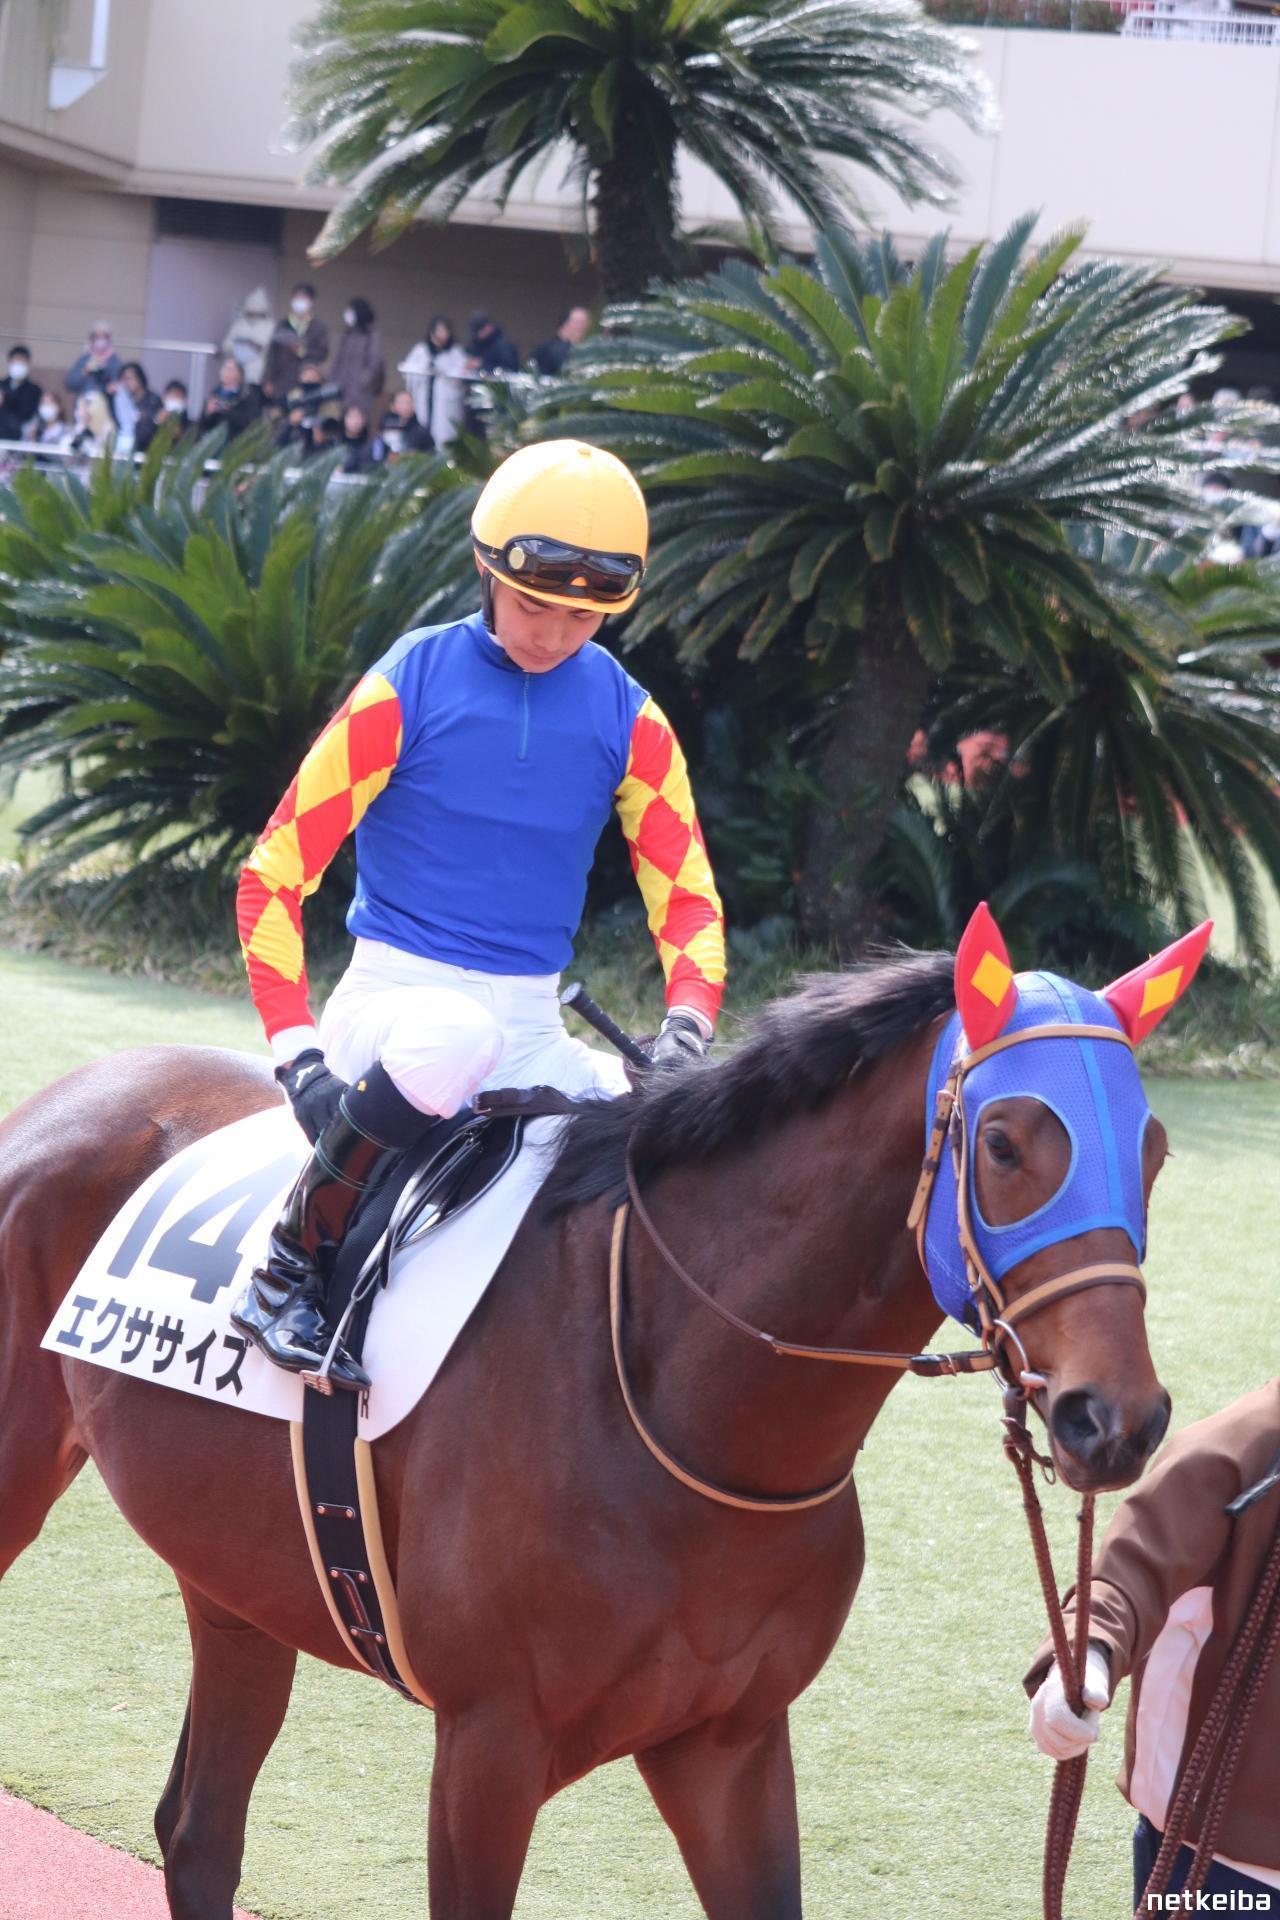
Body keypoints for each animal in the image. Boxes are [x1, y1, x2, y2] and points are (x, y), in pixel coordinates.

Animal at [0, 931, 1187, 1920]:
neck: (683, 1410)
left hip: (237, 1584)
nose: (1116, 1417)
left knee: (199, 1830)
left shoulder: (727, 1743)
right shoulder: (487, 1747)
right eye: (1005, 1142)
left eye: (1153, 1146)